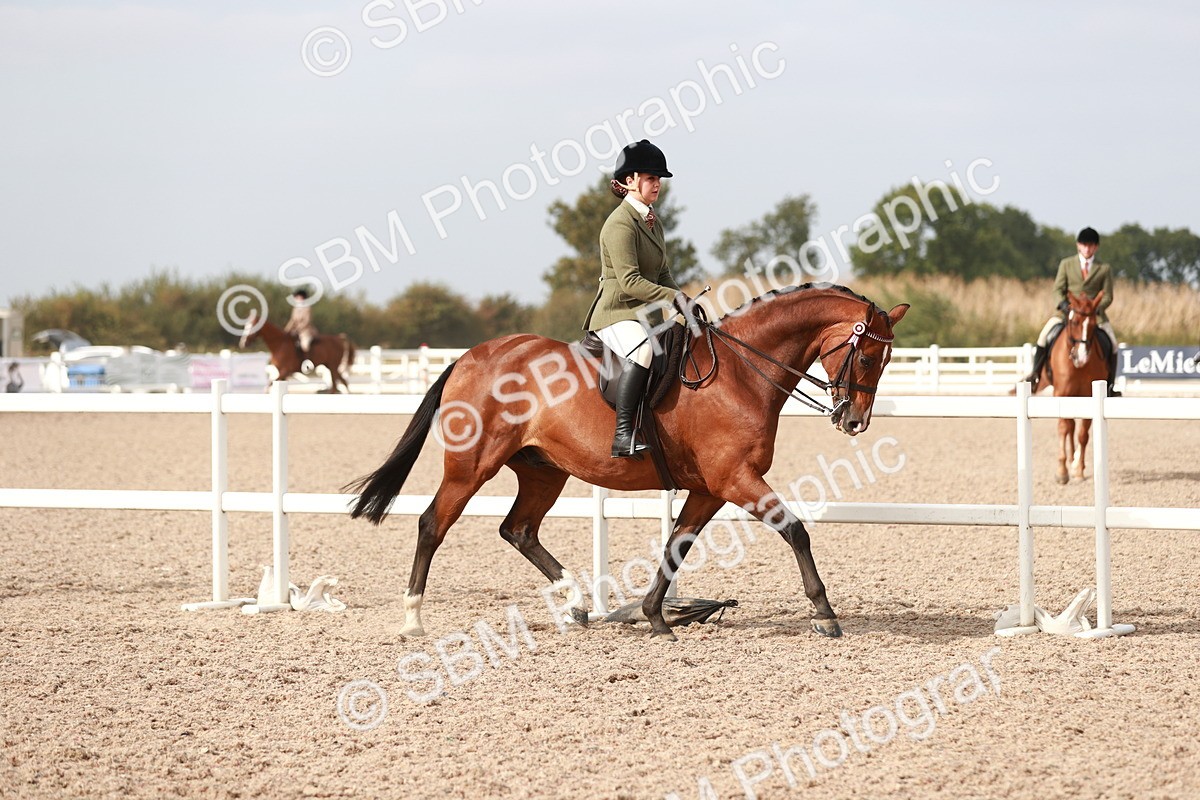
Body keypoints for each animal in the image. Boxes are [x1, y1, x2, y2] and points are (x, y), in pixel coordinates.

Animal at [348, 284, 909, 642]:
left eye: (885, 361)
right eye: (865, 357)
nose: (854, 421)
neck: (743, 372)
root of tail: (469, 357)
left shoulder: (710, 487)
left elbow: (676, 545)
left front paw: (656, 617)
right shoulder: (736, 478)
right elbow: (795, 531)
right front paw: (825, 614)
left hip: (543, 470)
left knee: (519, 530)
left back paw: (576, 603)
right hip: (471, 465)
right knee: (432, 524)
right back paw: (413, 620)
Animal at [1042, 291, 1110, 484]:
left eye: (1094, 325)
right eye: (1073, 322)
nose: (1081, 357)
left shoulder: (1089, 396)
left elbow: (1083, 434)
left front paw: (1078, 469)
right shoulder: (1061, 394)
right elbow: (1063, 428)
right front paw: (1062, 471)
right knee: (1068, 425)